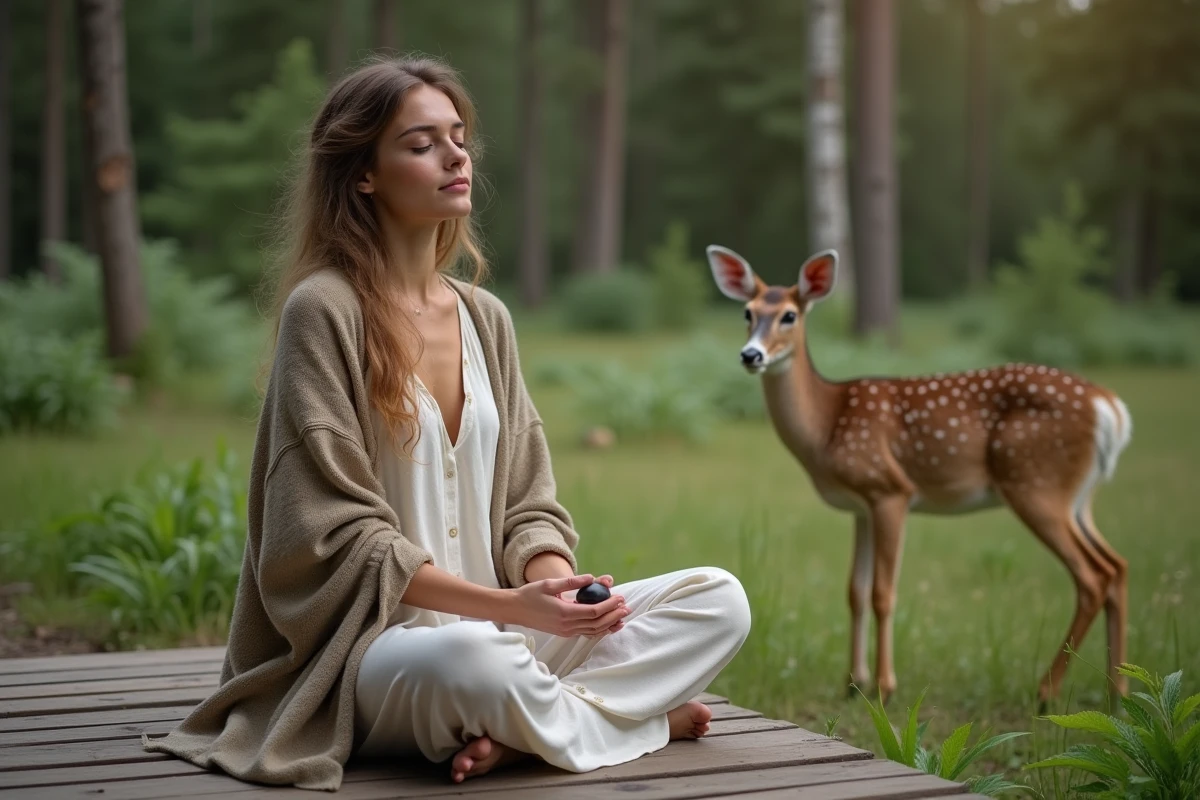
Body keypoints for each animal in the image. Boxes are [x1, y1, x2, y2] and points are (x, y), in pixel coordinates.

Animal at [705, 245, 1133, 706]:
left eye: (789, 315)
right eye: (747, 312)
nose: (751, 355)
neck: (827, 424)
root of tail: (1108, 406)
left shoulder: (891, 490)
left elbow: (882, 592)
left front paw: (884, 686)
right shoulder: (860, 507)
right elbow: (854, 591)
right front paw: (852, 683)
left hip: (1036, 484)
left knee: (1092, 576)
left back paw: (1047, 691)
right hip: (1078, 499)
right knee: (1117, 566)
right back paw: (1119, 691)